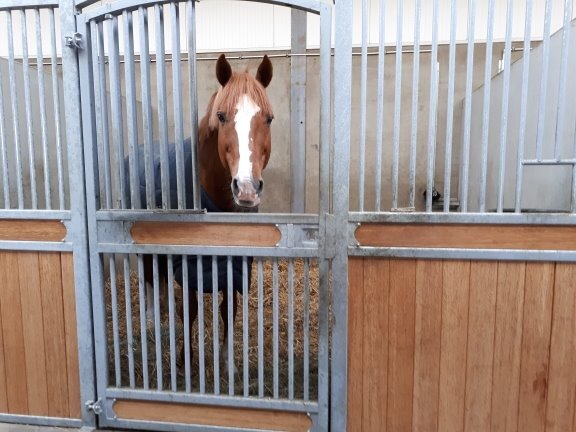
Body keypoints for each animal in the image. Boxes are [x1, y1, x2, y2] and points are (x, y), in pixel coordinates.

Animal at [136, 53, 274, 372]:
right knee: (149, 277)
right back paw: (150, 321)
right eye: (221, 116)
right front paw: (185, 361)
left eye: (269, 118)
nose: (246, 188)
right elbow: (190, 310)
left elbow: (228, 309)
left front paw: (227, 362)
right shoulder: (188, 264)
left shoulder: (235, 266)